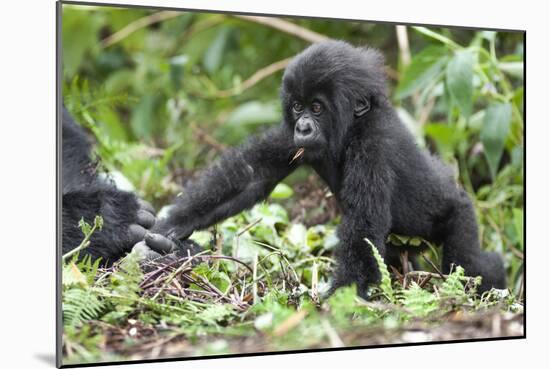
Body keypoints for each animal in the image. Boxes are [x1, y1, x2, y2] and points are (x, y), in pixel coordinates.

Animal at [149, 41, 506, 296]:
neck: (352, 127)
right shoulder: (291, 139)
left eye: (317, 107)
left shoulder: (373, 147)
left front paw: (337, 299)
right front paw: (174, 223)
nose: (304, 127)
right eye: (298, 106)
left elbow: (362, 227)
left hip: (460, 214)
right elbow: (252, 175)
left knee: (470, 263)